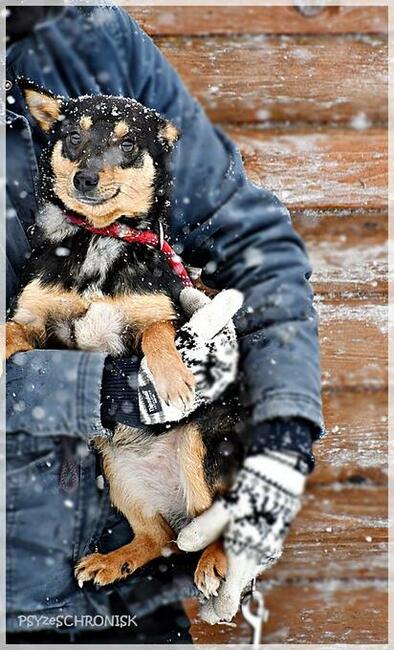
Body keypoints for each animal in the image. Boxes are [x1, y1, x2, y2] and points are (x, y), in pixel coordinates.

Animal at [5, 83, 243, 596]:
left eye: (129, 143)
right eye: (73, 138)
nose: (86, 178)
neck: (101, 237)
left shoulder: (165, 310)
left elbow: (158, 333)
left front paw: (171, 381)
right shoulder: (36, 322)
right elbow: (9, 329)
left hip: (199, 445)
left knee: (216, 522)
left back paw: (213, 562)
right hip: (117, 474)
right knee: (158, 537)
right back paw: (115, 560)